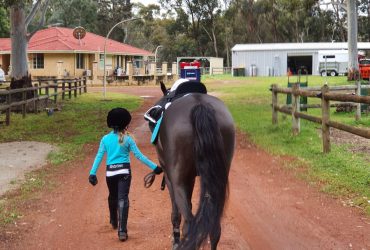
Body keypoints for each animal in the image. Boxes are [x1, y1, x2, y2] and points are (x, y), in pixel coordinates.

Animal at [147, 82, 234, 250]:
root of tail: (200, 105)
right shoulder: (191, 178)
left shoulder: (170, 178)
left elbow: (175, 214)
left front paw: (175, 241)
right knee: (215, 229)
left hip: (178, 181)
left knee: (189, 224)